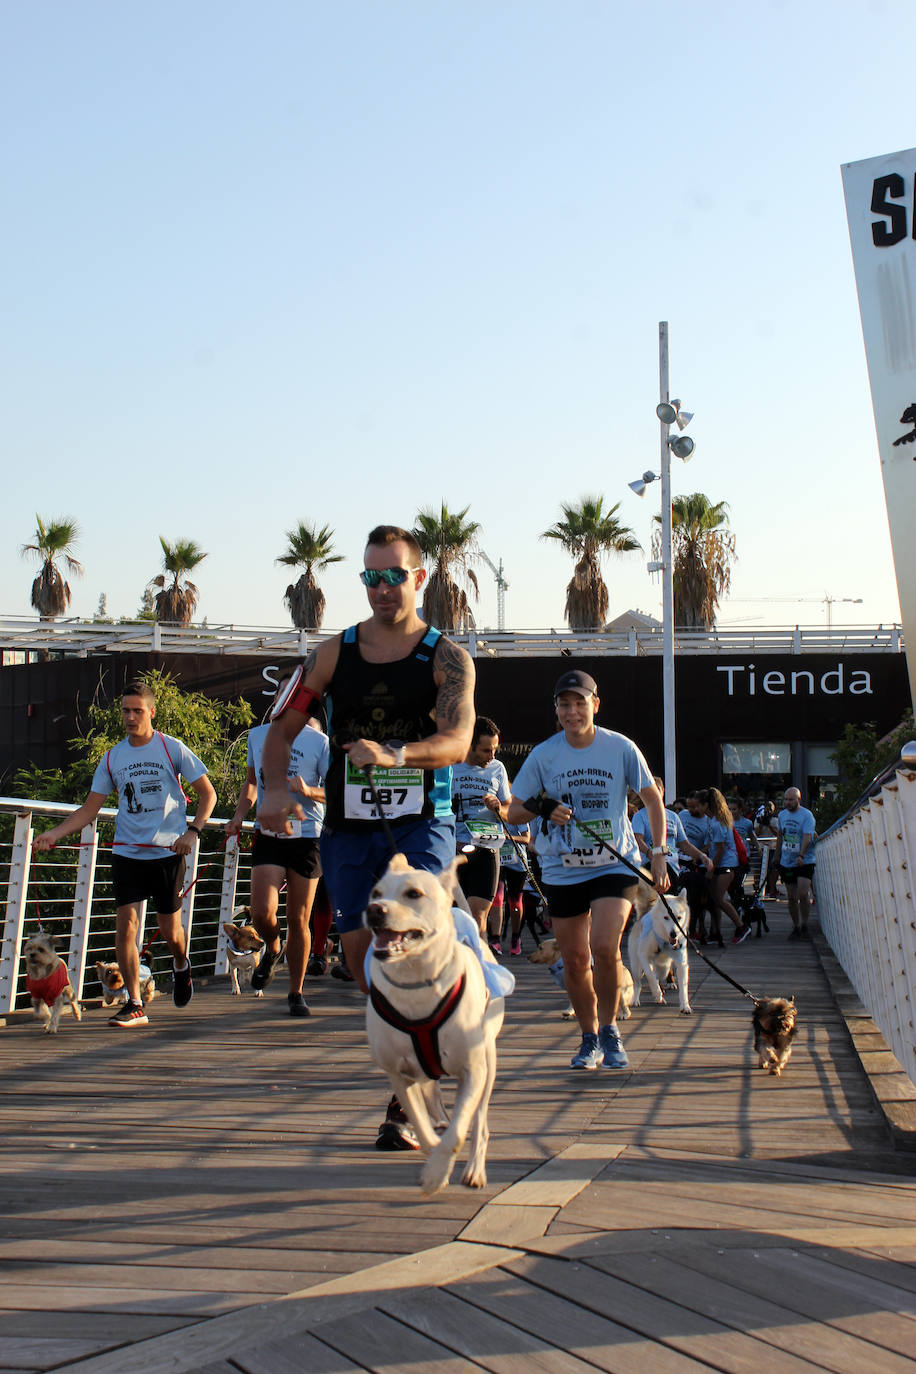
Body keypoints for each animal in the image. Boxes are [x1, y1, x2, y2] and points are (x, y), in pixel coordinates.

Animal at [365, 851, 505, 1198]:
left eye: (413, 894)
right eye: (375, 893)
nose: (375, 910)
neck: (416, 982)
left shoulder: (473, 1070)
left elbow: (459, 1130)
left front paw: (438, 1172)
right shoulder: (398, 1073)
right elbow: (422, 1124)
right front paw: (432, 1158)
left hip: (488, 1062)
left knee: (479, 1122)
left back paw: (474, 1170)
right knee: (432, 1097)